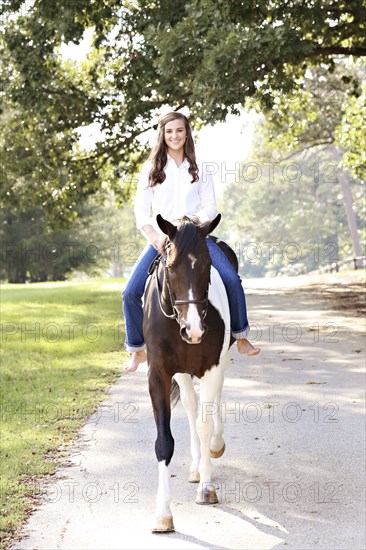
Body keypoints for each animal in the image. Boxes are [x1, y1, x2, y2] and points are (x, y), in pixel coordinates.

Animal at [143, 216, 234, 536]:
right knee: (192, 406)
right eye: (170, 267)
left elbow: (205, 425)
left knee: (212, 403)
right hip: (182, 374)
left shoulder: (212, 367)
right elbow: (164, 441)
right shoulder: (159, 374)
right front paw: (162, 514)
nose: (193, 330)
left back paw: (215, 448)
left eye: (207, 265)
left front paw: (206, 488)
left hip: (220, 363)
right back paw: (196, 465)